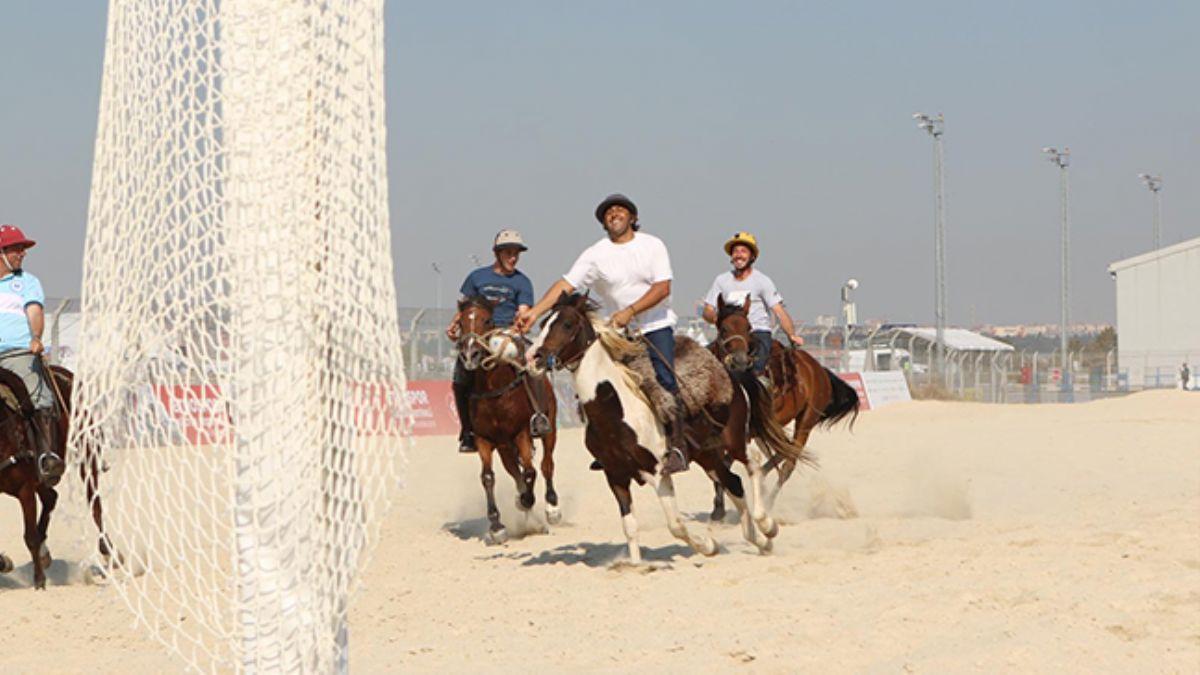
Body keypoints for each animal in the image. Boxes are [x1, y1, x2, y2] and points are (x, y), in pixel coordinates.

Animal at [0, 360, 113, 586]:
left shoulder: (24, 489)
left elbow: (30, 536)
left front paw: (39, 581)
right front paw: (5, 562)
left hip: (87, 453)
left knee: (95, 504)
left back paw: (108, 553)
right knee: (51, 497)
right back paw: (44, 555)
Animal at [456, 294, 559, 540]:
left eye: (487, 320)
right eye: (461, 322)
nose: (470, 355)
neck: (494, 389)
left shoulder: (522, 433)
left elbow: (531, 471)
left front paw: (527, 501)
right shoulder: (484, 439)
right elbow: (488, 477)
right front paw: (496, 526)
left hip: (549, 427)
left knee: (546, 464)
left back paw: (551, 508)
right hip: (504, 447)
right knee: (514, 470)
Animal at [528, 291, 801, 559]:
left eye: (567, 324)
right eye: (542, 324)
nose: (534, 358)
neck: (616, 409)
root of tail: (732, 375)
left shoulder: (659, 473)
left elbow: (676, 525)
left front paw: (708, 545)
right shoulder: (615, 475)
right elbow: (630, 527)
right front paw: (637, 564)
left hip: (733, 441)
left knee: (753, 463)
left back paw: (767, 524)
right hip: (707, 454)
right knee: (733, 482)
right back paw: (760, 541)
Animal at [705, 294, 859, 514]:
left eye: (748, 327)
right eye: (724, 328)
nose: (740, 361)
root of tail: (817, 368)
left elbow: (725, 464)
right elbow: (719, 466)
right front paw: (718, 508)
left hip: (805, 421)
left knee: (789, 460)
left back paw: (768, 502)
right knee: (783, 450)